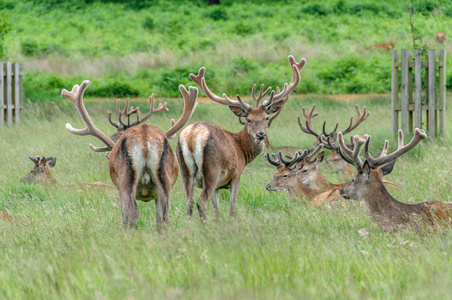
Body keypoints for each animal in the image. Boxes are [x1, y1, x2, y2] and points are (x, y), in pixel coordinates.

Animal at [61, 80, 198, 232]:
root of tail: (145, 138)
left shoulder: (119, 190)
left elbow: (123, 216)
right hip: (164, 179)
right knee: (164, 217)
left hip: (126, 178)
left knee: (133, 212)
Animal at [178, 55, 306, 219]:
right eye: (248, 119)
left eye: (266, 117)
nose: (261, 135)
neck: (242, 151)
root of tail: (192, 136)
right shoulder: (236, 175)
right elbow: (232, 208)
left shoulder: (218, 186)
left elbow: (217, 211)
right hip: (211, 170)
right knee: (201, 203)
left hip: (185, 171)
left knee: (189, 204)